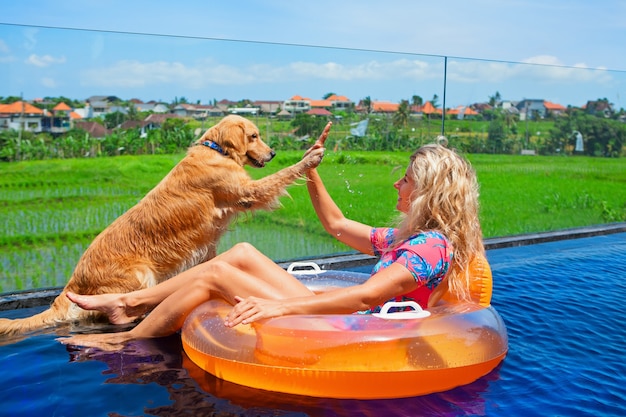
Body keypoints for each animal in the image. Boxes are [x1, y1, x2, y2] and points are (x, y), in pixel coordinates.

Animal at [0, 114, 322, 334]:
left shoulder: (208, 248)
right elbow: (282, 175)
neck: (216, 150)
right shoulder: (247, 193)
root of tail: (71, 283)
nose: (273, 153)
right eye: (254, 136)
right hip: (141, 274)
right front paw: (308, 160)